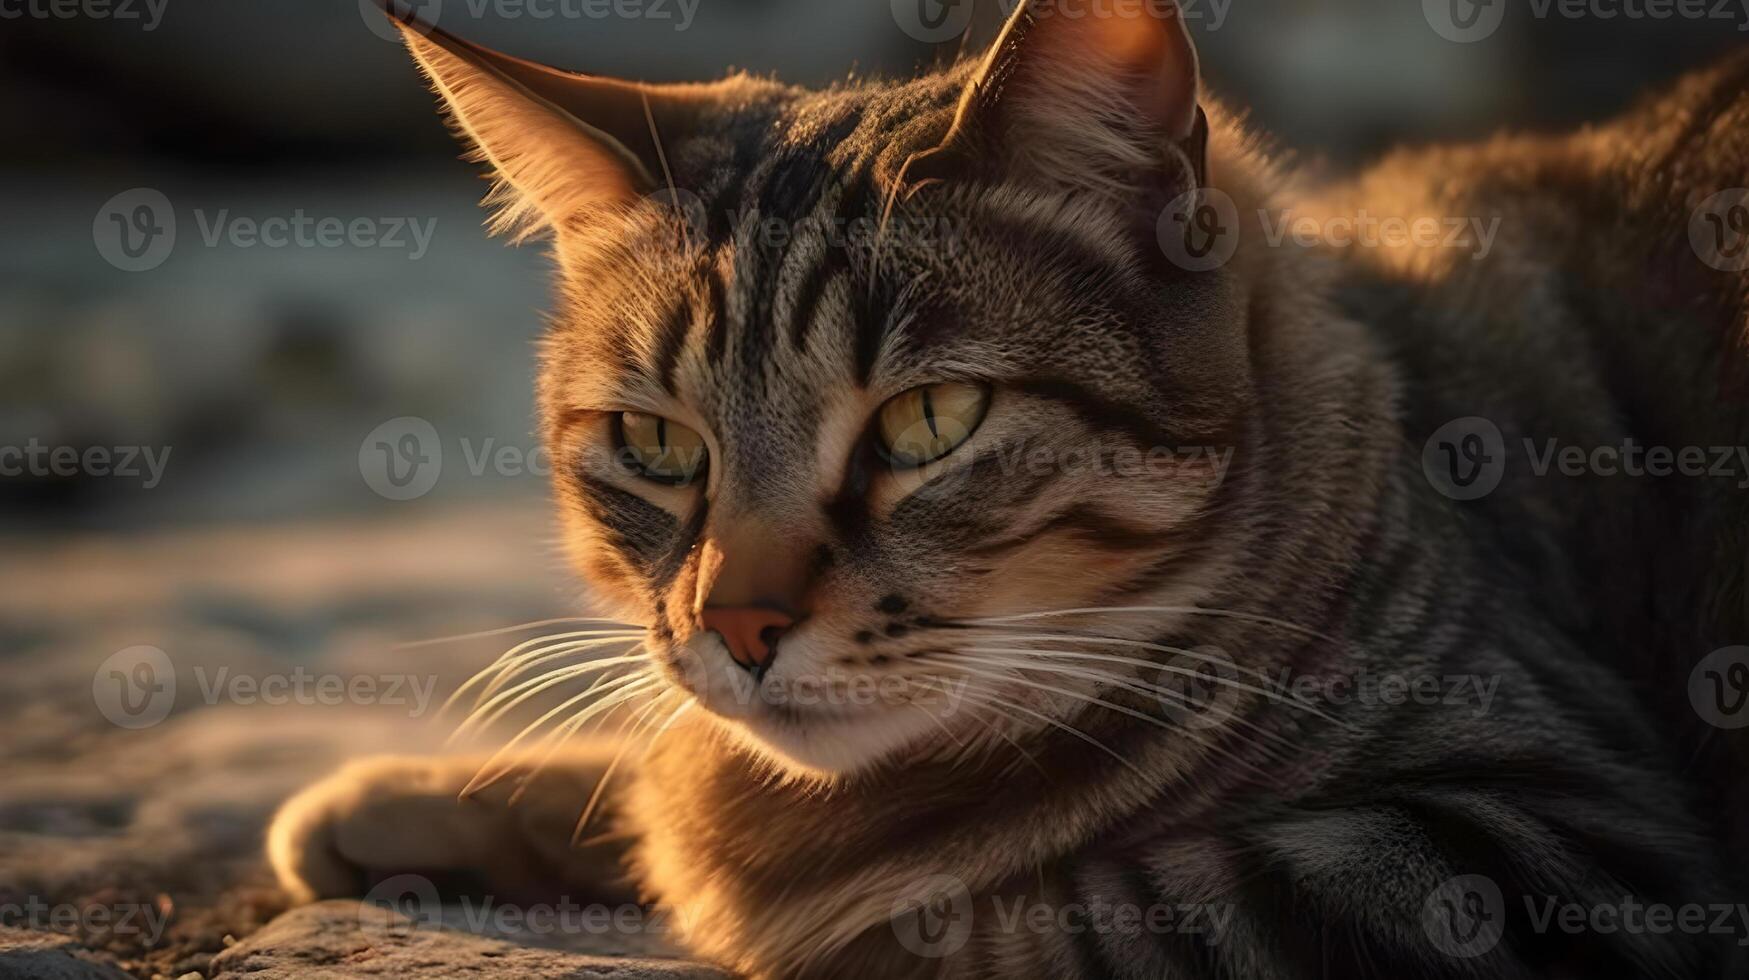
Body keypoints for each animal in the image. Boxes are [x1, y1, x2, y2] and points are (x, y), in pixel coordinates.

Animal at [265, 3, 1749, 973]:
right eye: (657, 443)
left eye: (929, 421)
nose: (733, 625)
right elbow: (655, 775)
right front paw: (420, 799)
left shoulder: (1553, 853)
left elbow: (1031, 915)